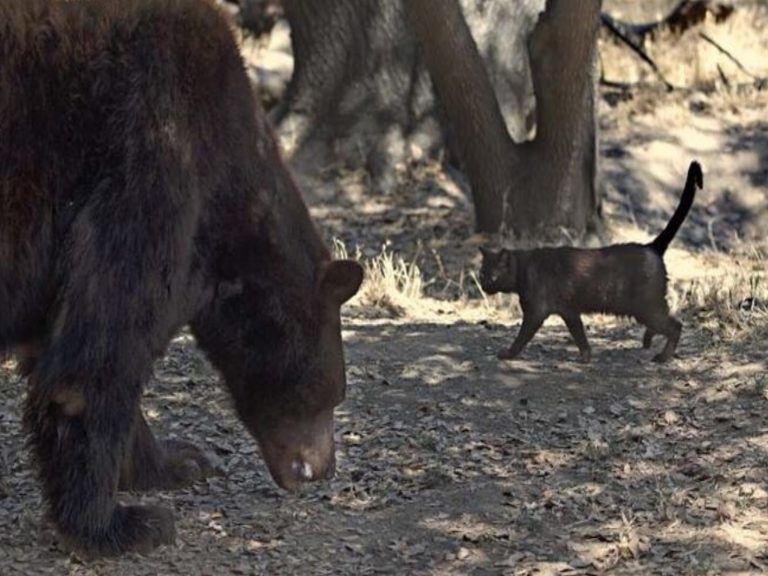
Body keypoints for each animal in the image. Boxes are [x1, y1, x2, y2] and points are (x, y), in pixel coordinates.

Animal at [0, 0, 364, 560]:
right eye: (332, 396)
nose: (323, 470)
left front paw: (177, 462)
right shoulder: (154, 152)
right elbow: (100, 353)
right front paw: (118, 524)